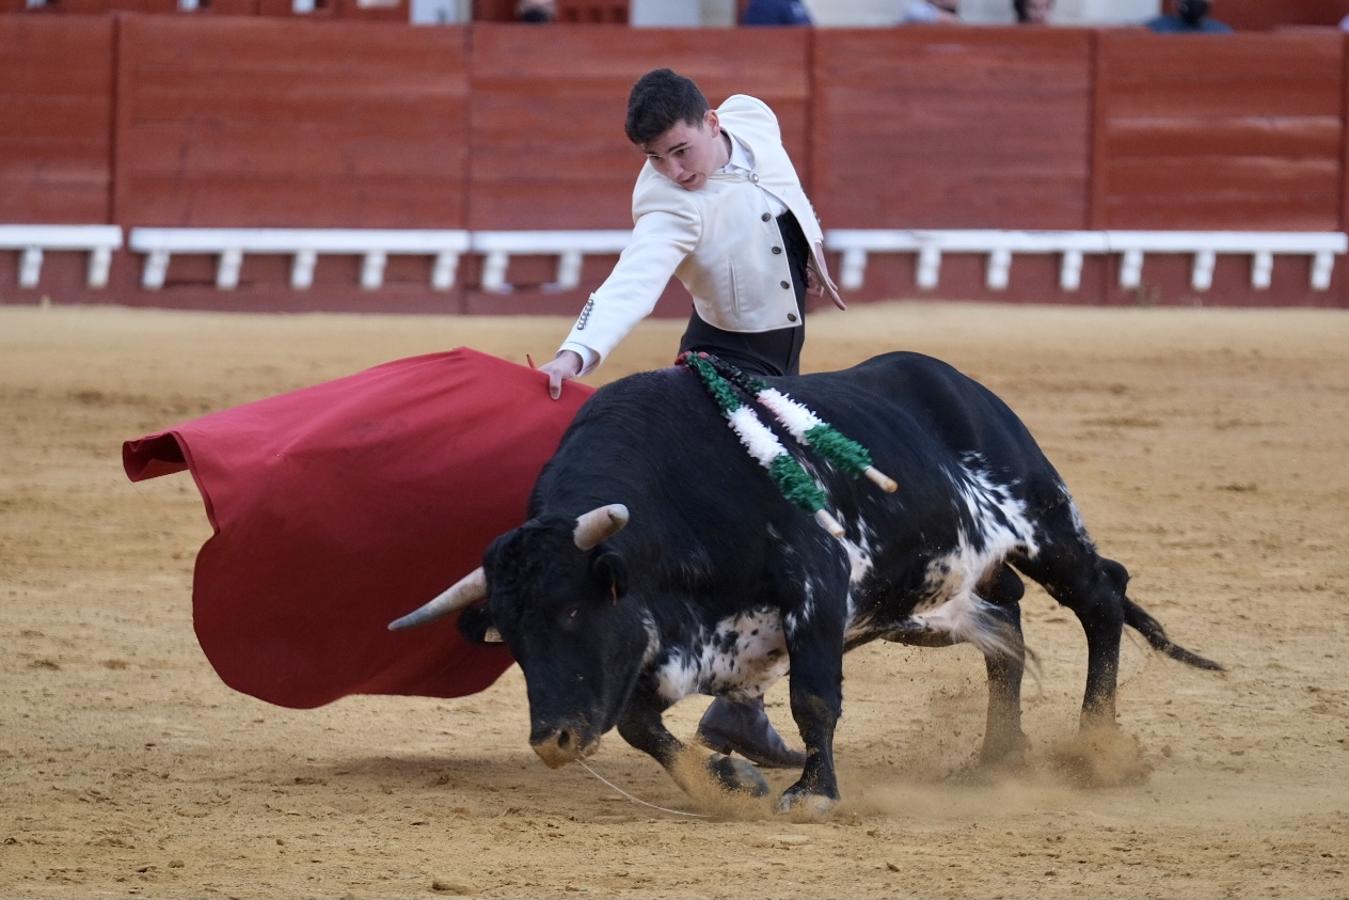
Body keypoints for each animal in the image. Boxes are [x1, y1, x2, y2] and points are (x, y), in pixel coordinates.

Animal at [391, 353, 1224, 814]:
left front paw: (811, 793)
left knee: (1101, 600)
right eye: (510, 636)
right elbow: (638, 723)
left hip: (1045, 522)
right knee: (1007, 631)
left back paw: (1094, 749)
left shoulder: (814, 589)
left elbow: (813, 698)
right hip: (929, 598)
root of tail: (961, 386)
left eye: (570, 611)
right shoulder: (676, 644)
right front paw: (728, 784)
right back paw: (996, 757)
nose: (554, 743)